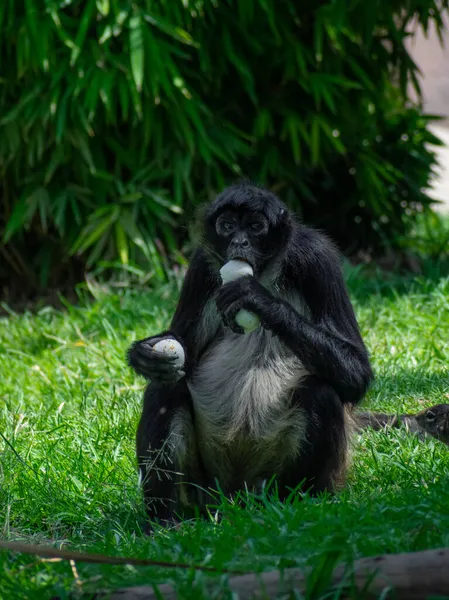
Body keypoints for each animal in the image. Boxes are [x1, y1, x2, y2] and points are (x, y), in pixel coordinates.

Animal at [126, 182, 372, 524]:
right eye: (228, 226)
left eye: (255, 227)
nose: (239, 242)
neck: (264, 272)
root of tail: (235, 495)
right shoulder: (202, 264)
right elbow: (184, 346)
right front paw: (142, 355)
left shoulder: (316, 256)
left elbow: (357, 374)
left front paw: (257, 299)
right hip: (201, 486)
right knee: (164, 389)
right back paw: (165, 523)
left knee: (320, 392)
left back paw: (295, 506)